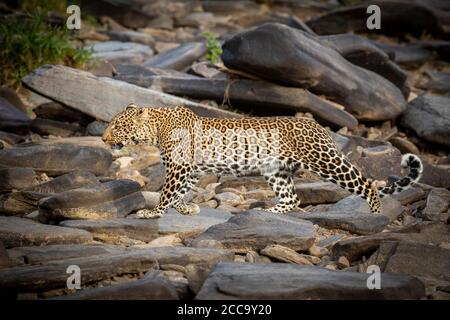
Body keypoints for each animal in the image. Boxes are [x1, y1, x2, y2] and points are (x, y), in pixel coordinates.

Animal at [102, 104, 422, 219]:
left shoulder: (179, 168)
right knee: (292, 198)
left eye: (117, 125)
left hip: (326, 161)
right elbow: (180, 191)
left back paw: (375, 214)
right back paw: (271, 211)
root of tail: (317, 125)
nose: (103, 139)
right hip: (276, 171)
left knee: (366, 183)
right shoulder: (190, 170)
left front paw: (153, 212)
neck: (158, 128)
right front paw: (185, 207)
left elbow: (167, 191)